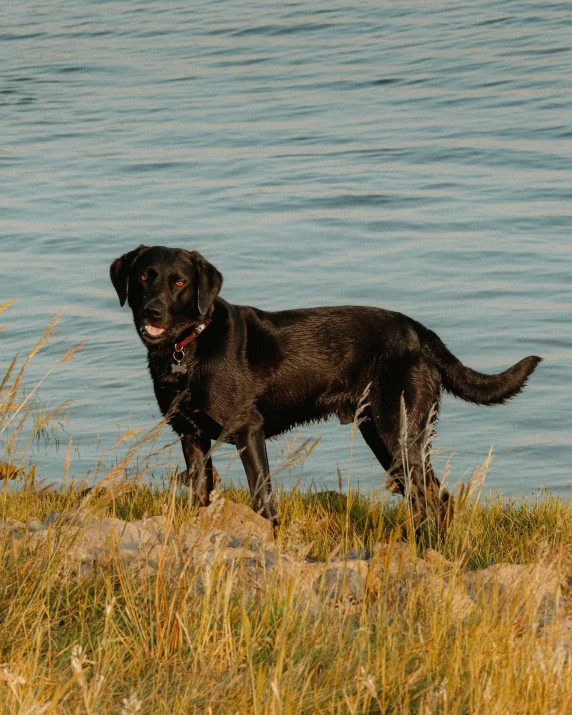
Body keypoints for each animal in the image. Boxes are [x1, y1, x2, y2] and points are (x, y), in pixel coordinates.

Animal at [108, 249, 540, 536]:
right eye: (143, 278)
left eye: (179, 282)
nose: (151, 311)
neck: (189, 348)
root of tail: (419, 331)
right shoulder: (192, 436)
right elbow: (200, 495)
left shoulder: (248, 429)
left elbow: (261, 495)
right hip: (383, 438)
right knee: (429, 498)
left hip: (398, 434)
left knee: (434, 498)